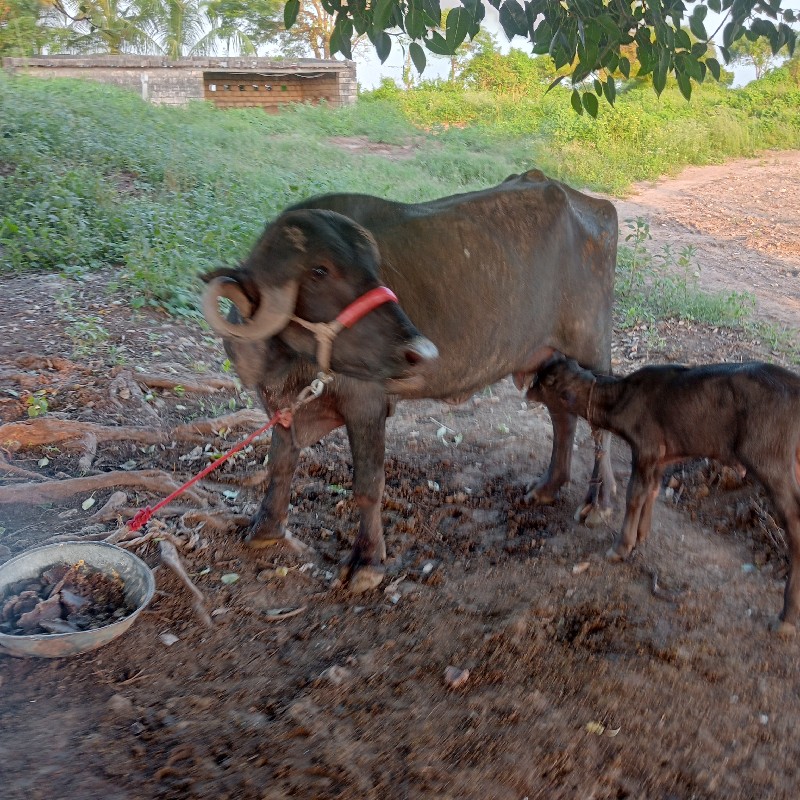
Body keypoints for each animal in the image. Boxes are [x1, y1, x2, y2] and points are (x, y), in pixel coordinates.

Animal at [202, 170, 620, 592]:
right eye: (319, 271)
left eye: (373, 266)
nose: (423, 352)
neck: (285, 361)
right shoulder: (283, 405)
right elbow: (280, 464)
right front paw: (266, 527)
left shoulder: (367, 405)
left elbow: (368, 484)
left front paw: (367, 560)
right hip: (549, 357)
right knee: (563, 414)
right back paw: (550, 486)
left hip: (592, 347)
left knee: (598, 421)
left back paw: (600, 504)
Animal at [528, 354, 800, 636]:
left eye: (544, 380)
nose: (527, 391)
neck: (623, 398)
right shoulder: (662, 457)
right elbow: (652, 490)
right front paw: (641, 534)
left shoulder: (646, 448)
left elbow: (634, 494)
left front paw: (622, 546)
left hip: (770, 461)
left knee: (794, 522)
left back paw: (786, 617)